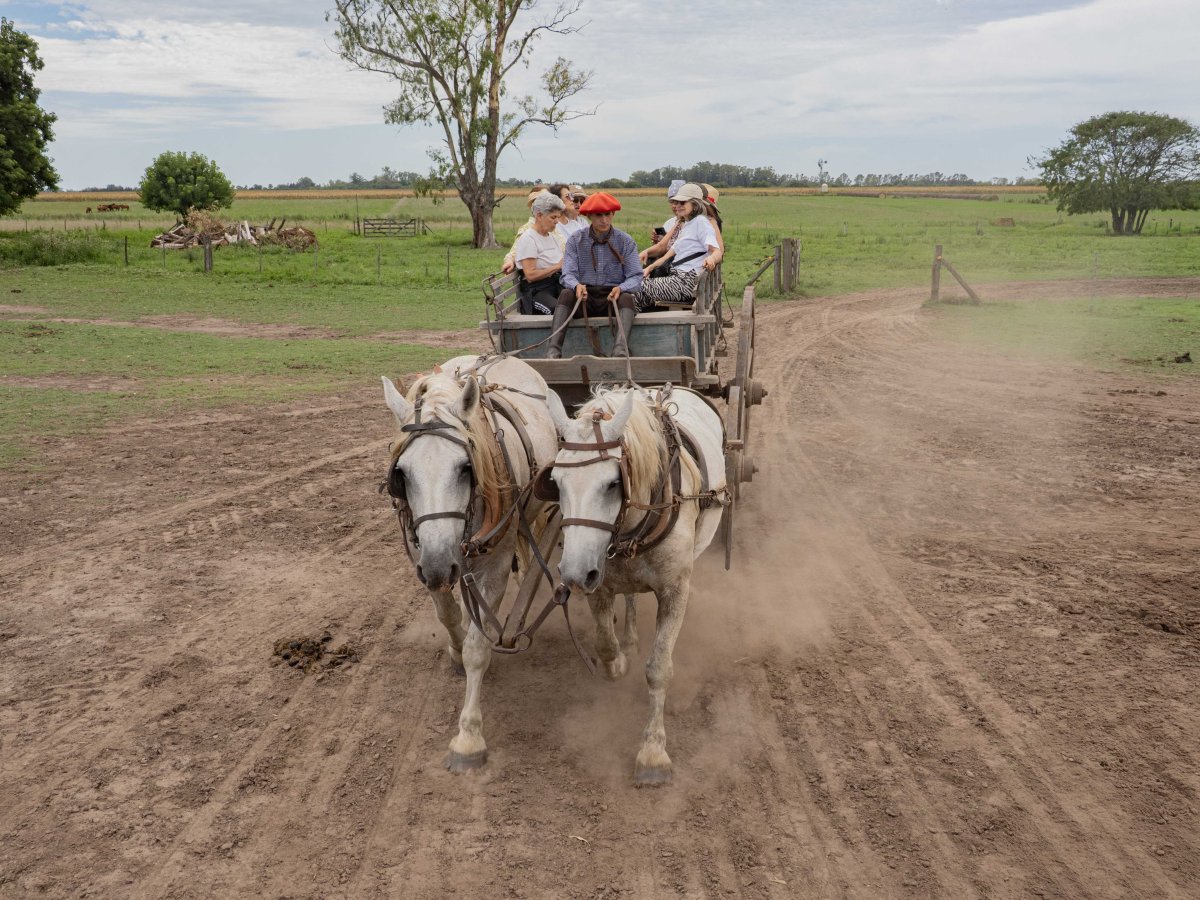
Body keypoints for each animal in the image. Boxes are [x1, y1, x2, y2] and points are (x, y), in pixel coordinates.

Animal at [381, 355, 560, 771]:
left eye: (466, 467)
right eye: (401, 473)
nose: (438, 565)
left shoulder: (494, 563)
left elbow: (479, 647)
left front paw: (469, 737)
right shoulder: (424, 557)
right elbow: (447, 614)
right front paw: (455, 646)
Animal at [542, 384, 727, 784]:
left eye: (613, 483)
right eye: (556, 482)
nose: (573, 574)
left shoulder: (674, 591)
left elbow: (659, 669)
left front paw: (653, 752)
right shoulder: (600, 581)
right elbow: (605, 648)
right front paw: (620, 662)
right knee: (628, 598)